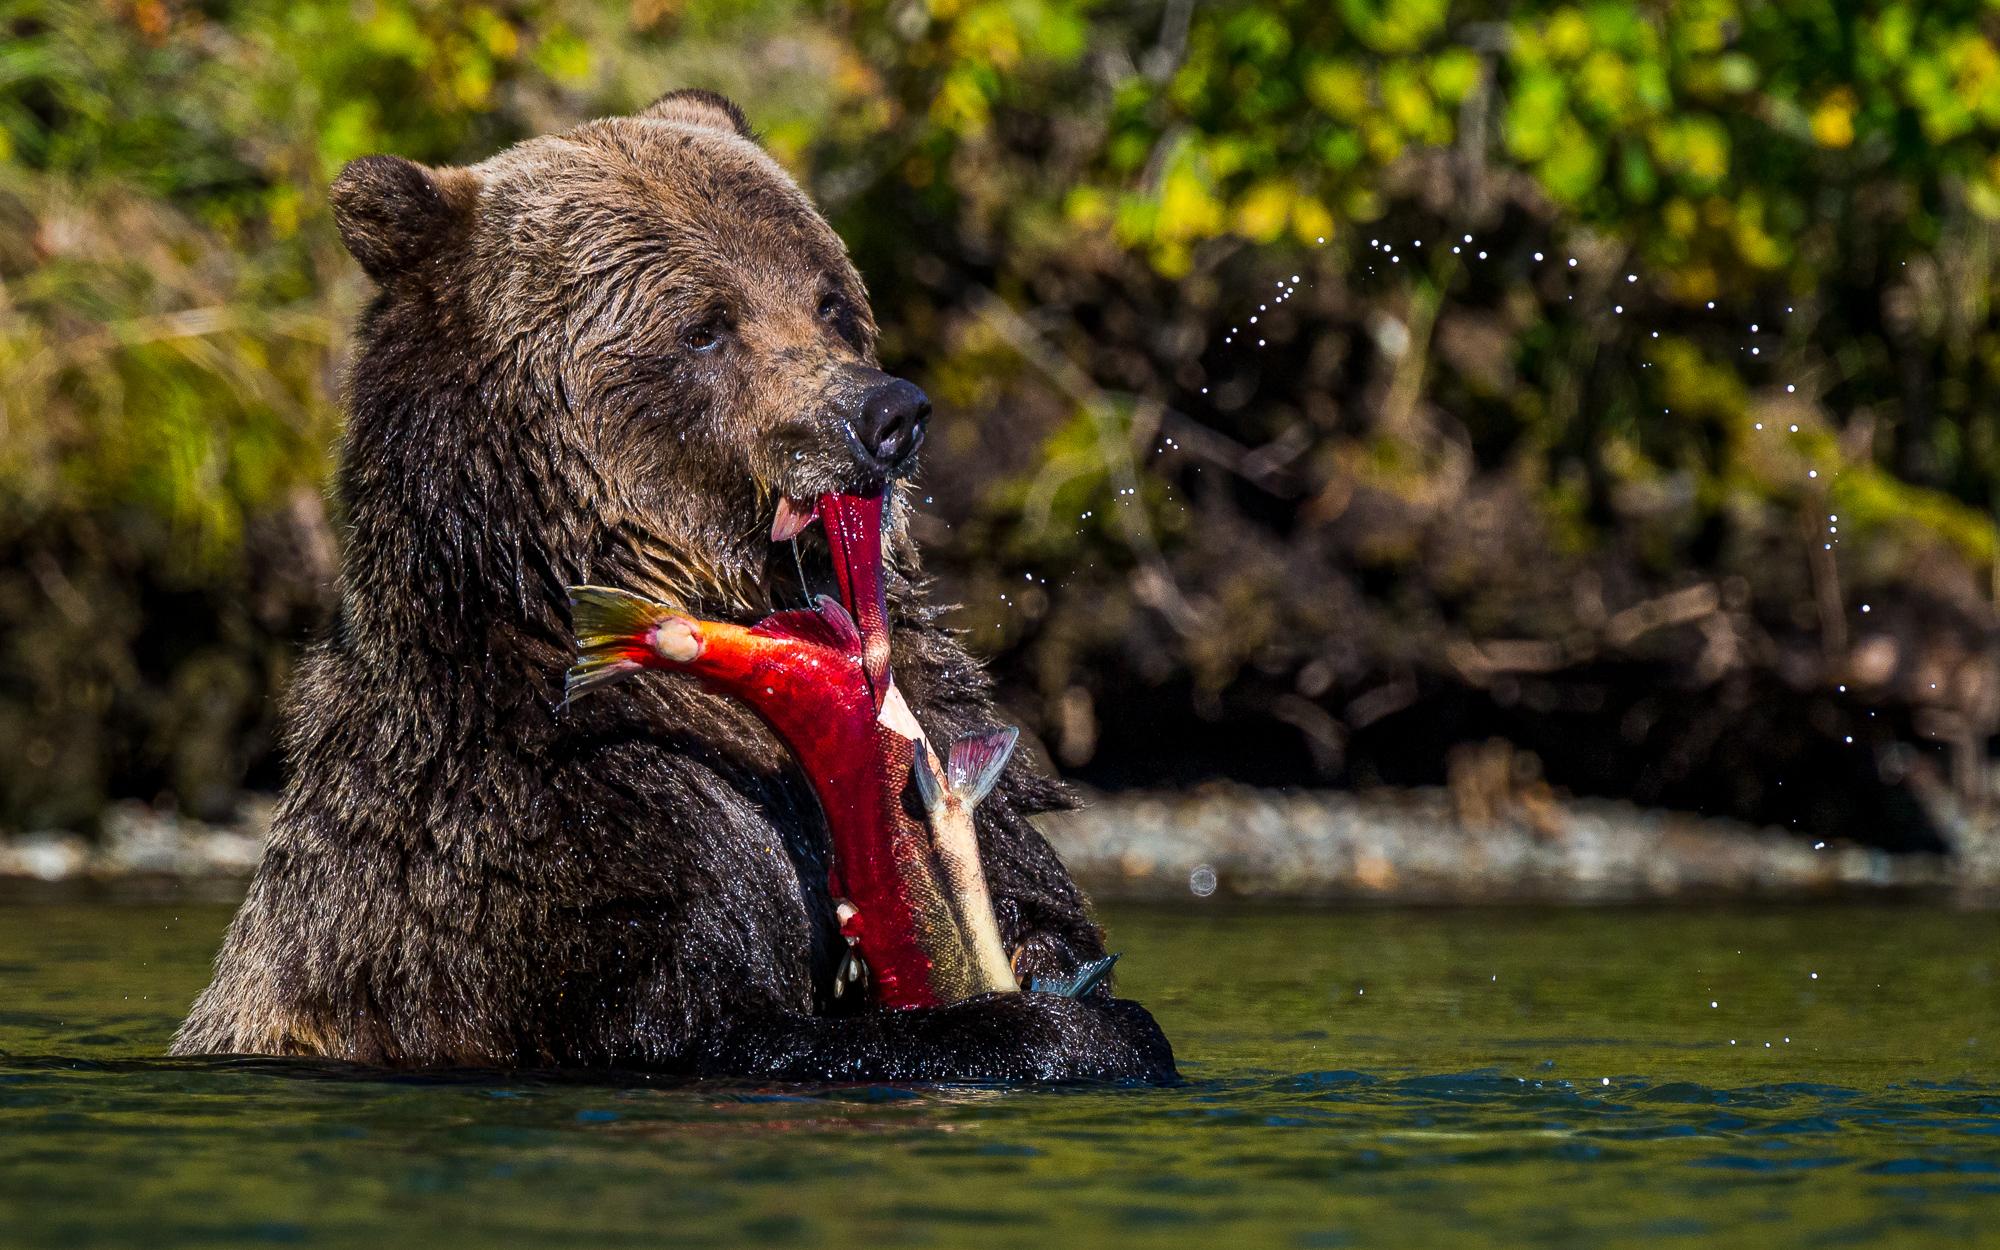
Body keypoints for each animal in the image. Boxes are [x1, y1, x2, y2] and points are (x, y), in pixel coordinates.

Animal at [170, 89, 1174, 1083]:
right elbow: (694, 1016)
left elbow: (1028, 884)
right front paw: (1052, 1031)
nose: (887, 413)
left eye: (828, 302)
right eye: (705, 326)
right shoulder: (544, 831)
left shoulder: (927, 731)